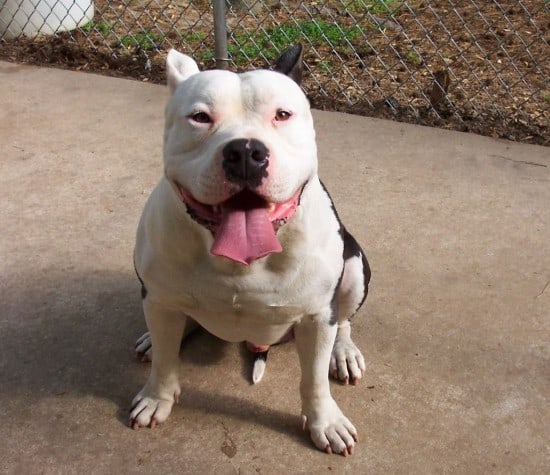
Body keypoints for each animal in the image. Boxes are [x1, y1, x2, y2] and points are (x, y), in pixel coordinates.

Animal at [130, 45, 370, 458]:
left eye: (282, 114)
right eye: (200, 117)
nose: (244, 150)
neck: (241, 264)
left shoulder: (316, 316)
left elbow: (314, 379)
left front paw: (326, 421)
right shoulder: (157, 297)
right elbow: (164, 359)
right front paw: (156, 397)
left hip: (354, 267)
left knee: (344, 320)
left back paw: (344, 351)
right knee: (174, 325)